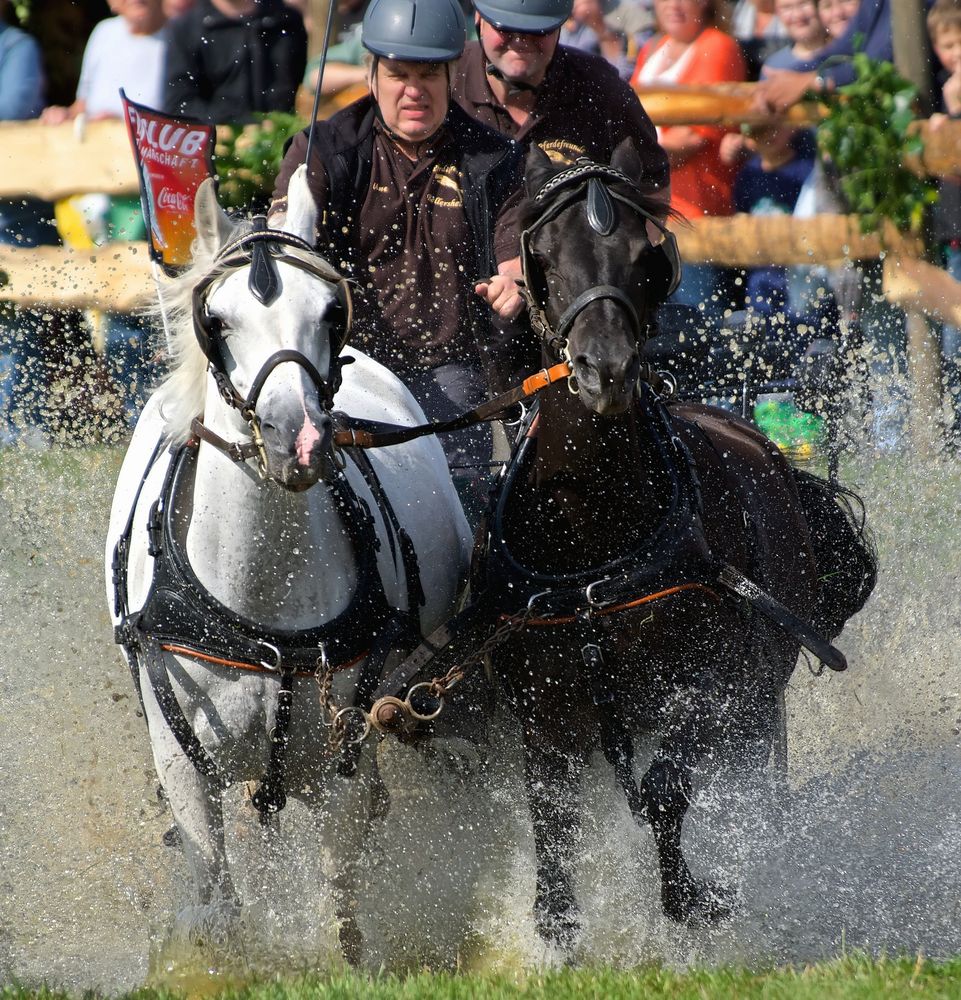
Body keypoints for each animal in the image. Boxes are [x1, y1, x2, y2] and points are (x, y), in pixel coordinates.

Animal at [105, 170, 472, 960]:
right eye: (217, 320)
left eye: (331, 312)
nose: (296, 437)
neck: (260, 600)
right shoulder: (184, 764)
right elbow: (215, 887)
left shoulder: (338, 756)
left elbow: (339, 893)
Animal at [480, 139, 876, 944]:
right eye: (543, 254)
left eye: (645, 253)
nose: (604, 369)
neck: (594, 534)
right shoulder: (543, 710)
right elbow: (551, 822)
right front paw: (556, 932)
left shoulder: (709, 686)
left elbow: (665, 788)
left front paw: (693, 898)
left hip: (758, 698)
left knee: (748, 778)